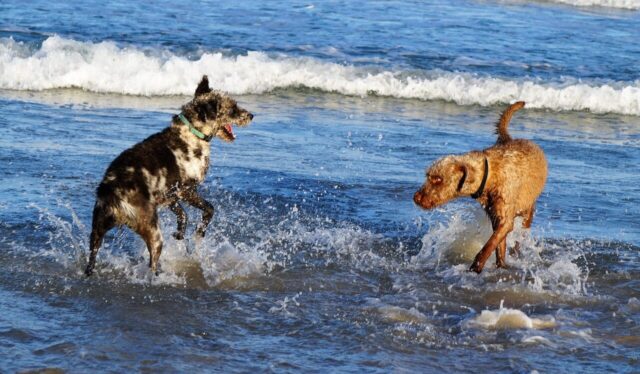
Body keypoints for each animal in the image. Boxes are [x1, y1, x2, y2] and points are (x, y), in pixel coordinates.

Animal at [84, 75, 252, 274]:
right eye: (233, 107)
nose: (251, 115)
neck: (192, 132)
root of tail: (112, 192)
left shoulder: (169, 195)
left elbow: (183, 214)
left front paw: (180, 233)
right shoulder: (185, 190)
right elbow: (209, 209)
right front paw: (199, 231)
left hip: (98, 227)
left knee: (92, 256)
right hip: (153, 232)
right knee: (152, 261)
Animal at [416, 101, 544, 274]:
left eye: (438, 179)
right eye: (428, 176)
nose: (416, 198)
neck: (490, 175)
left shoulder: (505, 219)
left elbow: (489, 245)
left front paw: (476, 266)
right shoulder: (496, 219)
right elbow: (499, 246)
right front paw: (499, 266)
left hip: (527, 213)